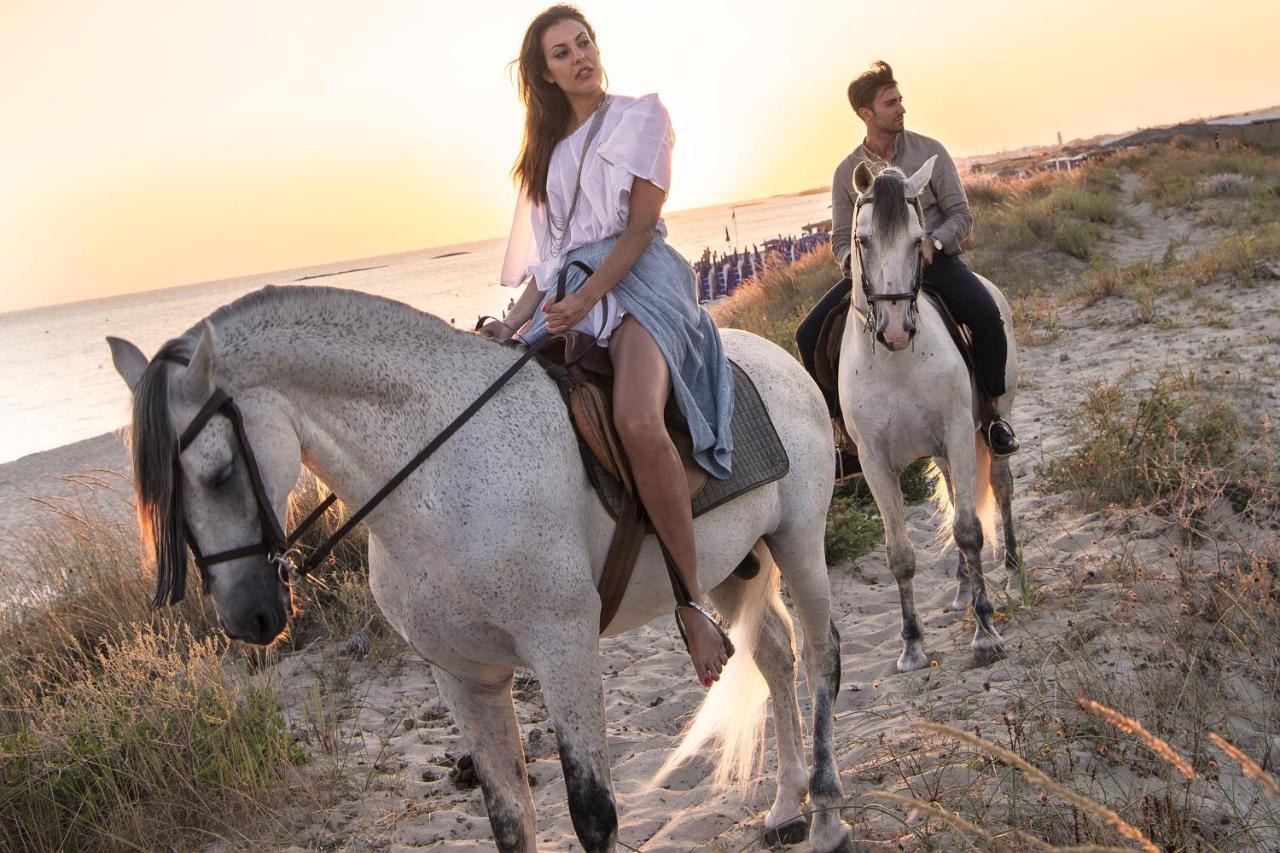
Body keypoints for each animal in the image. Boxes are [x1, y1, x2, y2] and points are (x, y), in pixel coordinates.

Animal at [104, 286, 855, 850]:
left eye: (219, 472)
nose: (248, 617)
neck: (440, 473)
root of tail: (773, 358)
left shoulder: (563, 648)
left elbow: (593, 814)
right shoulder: (461, 674)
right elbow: (509, 819)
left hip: (797, 541)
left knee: (822, 654)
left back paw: (826, 814)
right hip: (730, 566)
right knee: (775, 654)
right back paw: (786, 806)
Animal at [839, 154, 1018, 671]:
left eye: (919, 240)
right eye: (862, 240)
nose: (897, 330)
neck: (897, 364)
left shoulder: (959, 432)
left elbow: (970, 531)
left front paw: (985, 632)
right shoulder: (876, 464)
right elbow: (899, 553)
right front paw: (912, 645)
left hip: (990, 425)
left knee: (1000, 489)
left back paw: (1013, 575)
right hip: (940, 452)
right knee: (957, 493)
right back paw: (960, 591)